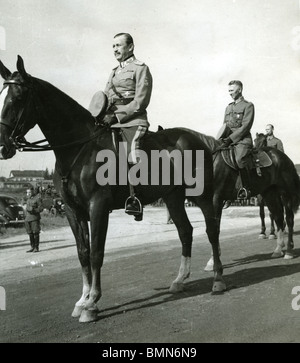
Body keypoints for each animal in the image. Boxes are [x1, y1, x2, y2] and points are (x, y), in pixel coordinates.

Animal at [0, 56, 225, 324]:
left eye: (18, 96)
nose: (3, 145)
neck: (80, 149)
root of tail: (198, 139)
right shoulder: (72, 211)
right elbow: (83, 252)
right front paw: (82, 300)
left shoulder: (98, 207)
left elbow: (96, 253)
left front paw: (92, 304)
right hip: (173, 197)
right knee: (186, 232)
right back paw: (179, 281)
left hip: (202, 196)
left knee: (212, 230)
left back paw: (217, 280)